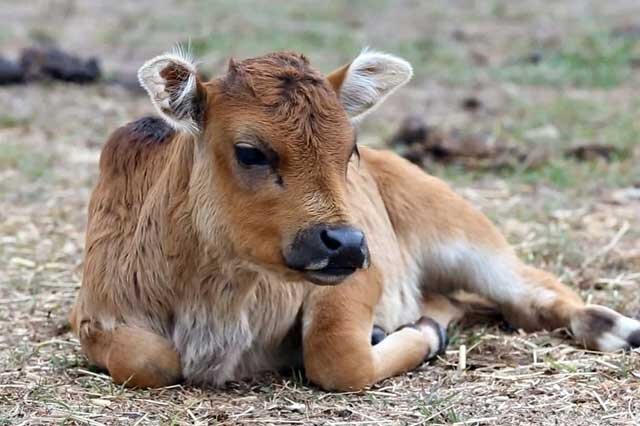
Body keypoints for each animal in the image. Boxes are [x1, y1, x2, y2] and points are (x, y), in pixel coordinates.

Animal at [70, 48, 640, 392]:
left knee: (533, 290)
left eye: (350, 149)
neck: (218, 294)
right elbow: (150, 360)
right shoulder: (95, 311)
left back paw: (615, 328)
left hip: (464, 233)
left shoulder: (356, 280)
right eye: (250, 152)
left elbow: (337, 357)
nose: (344, 242)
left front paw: (416, 335)